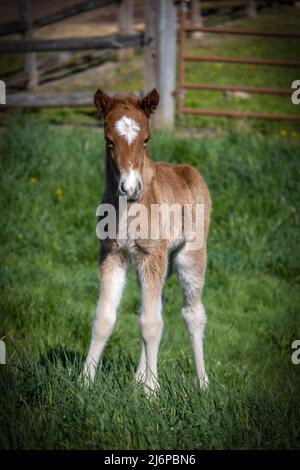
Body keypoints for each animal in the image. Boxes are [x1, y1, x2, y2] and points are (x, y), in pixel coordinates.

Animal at [83, 89, 212, 392]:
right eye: (108, 140)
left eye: (146, 139)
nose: (130, 188)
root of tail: (188, 170)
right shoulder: (112, 255)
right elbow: (104, 318)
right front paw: (84, 382)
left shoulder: (151, 255)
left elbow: (152, 324)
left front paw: (152, 392)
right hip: (160, 262)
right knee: (154, 306)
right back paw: (138, 377)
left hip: (189, 255)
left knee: (192, 313)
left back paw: (203, 384)